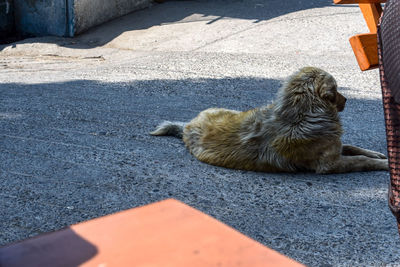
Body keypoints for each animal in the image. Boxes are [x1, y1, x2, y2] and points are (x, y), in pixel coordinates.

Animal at [150, 67, 388, 174]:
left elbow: (354, 147)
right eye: (337, 90)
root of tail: (188, 126)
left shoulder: (336, 147)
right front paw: (384, 164)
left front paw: (377, 153)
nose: (346, 99)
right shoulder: (330, 164)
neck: (302, 114)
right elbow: (362, 160)